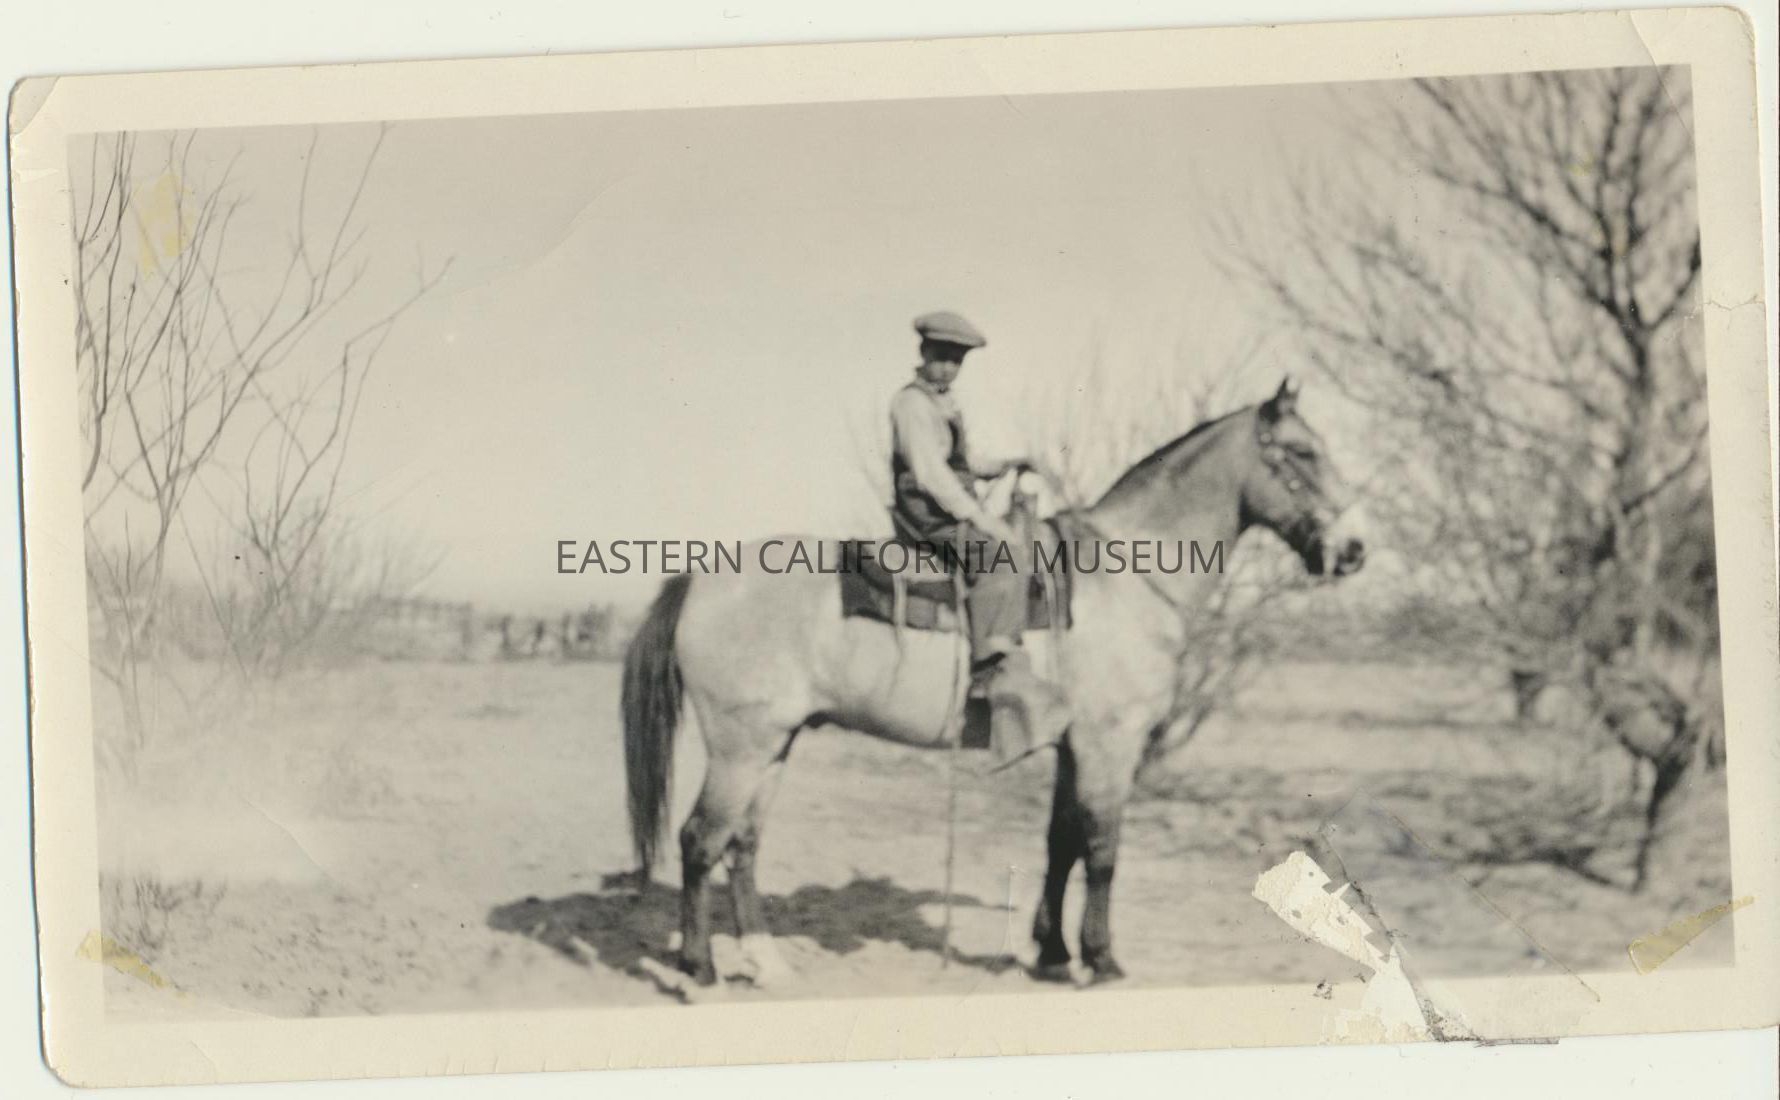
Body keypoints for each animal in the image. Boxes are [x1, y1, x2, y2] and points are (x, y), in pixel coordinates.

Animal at [620, 377, 1365, 989]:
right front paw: (1100, 959)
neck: (1123, 578)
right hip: (741, 746)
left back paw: (764, 961)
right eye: (1301, 452)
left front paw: (1053, 954)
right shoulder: (1110, 744)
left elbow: (1060, 844)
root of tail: (702, 579)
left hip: (775, 743)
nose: (1355, 550)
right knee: (700, 840)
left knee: (741, 845)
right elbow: (1102, 849)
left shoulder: (1072, 747)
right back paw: (699, 968)